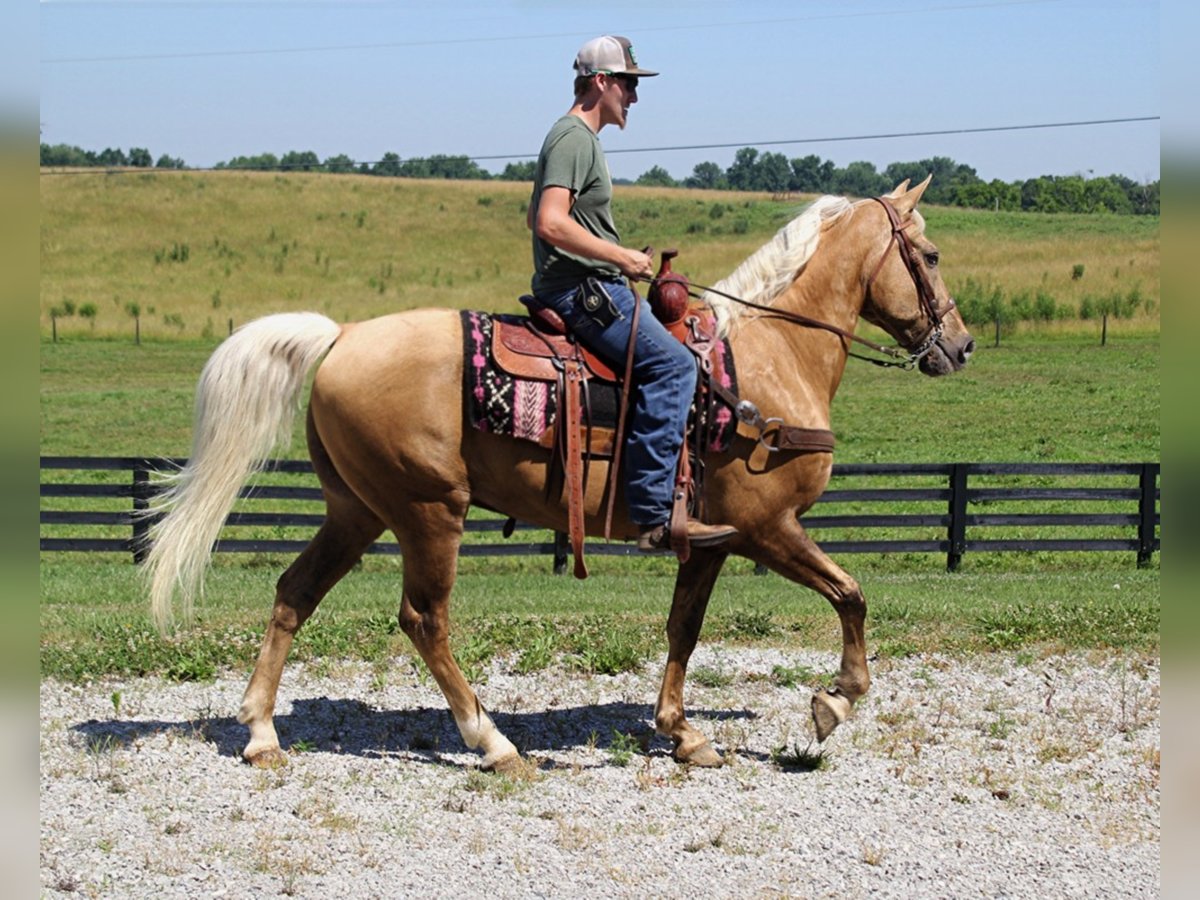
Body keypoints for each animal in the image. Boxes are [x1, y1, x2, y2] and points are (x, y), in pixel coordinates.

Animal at [147, 177, 974, 777]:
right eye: (930, 255)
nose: (961, 346)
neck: (767, 359)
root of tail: (342, 335)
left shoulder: (710, 539)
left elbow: (684, 628)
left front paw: (683, 733)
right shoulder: (768, 526)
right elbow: (850, 593)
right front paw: (837, 700)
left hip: (357, 510)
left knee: (294, 593)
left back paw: (261, 733)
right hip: (429, 511)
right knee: (424, 620)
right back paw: (494, 743)